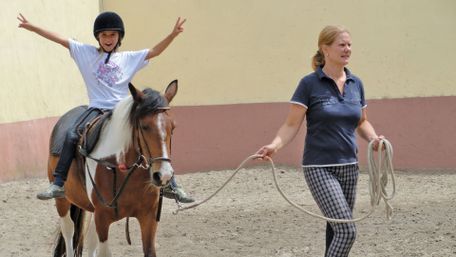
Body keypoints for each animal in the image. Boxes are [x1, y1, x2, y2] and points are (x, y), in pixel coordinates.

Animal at [48, 80, 179, 256]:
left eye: (173, 127)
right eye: (144, 126)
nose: (163, 175)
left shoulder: (149, 217)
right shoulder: (103, 218)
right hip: (63, 201)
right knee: (69, 231)